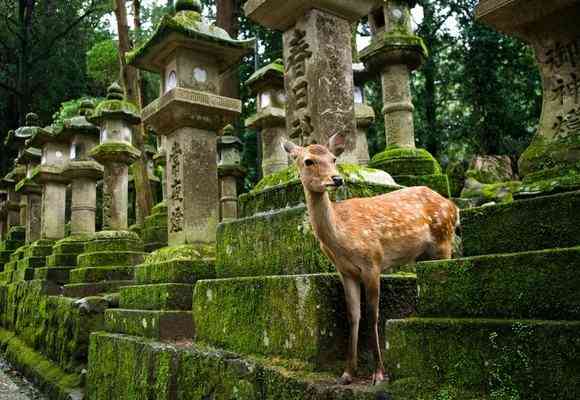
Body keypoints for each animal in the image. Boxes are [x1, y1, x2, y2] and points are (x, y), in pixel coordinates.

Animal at [284, 135, 460, 388]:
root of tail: (454, 207)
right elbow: (353, 315)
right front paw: (347, 373)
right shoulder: (345, 272)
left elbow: (372, 314)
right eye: (308, 160)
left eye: (333, 158)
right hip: (424, 254)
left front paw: (378, 374)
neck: (341, 238)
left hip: (444, 241)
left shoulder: (372, 262)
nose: (337, 179)